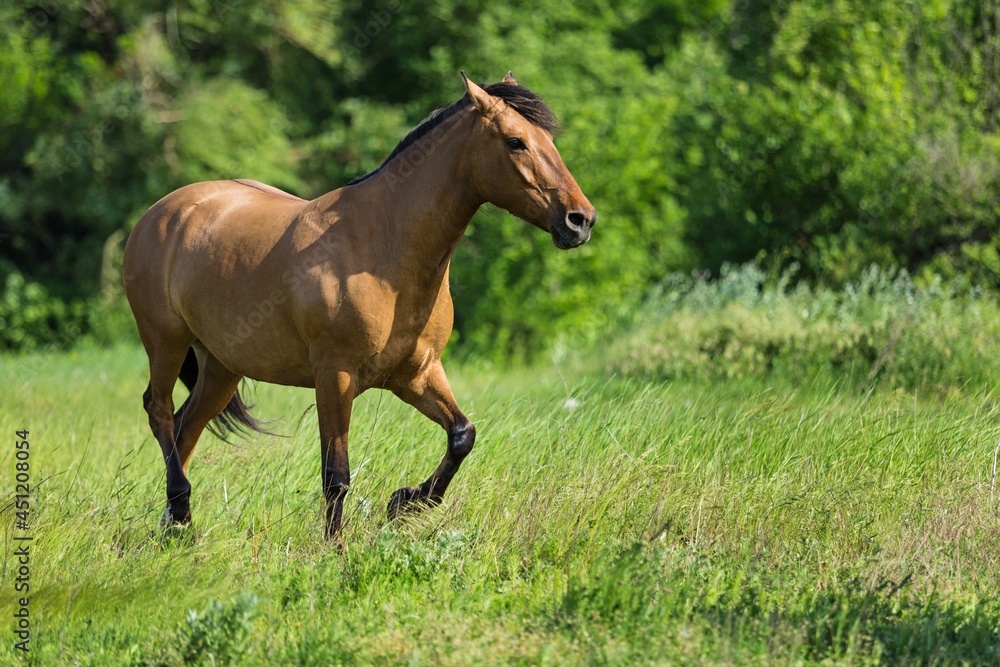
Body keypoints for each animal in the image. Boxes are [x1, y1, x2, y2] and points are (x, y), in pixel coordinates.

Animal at [123, 72, 592, 544]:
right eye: (516, 141)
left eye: (548, 139)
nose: (580, 220)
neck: (382, 249)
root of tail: (160, 213)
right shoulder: (335, 377)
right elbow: (337, 474)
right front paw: (336, 548)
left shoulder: (417, 373)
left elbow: (462, 435)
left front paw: (404, 502)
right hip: (165, 341)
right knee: (159, 411)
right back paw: (179, 507)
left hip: (221, 367)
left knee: (186, 426)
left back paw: (175, 525)